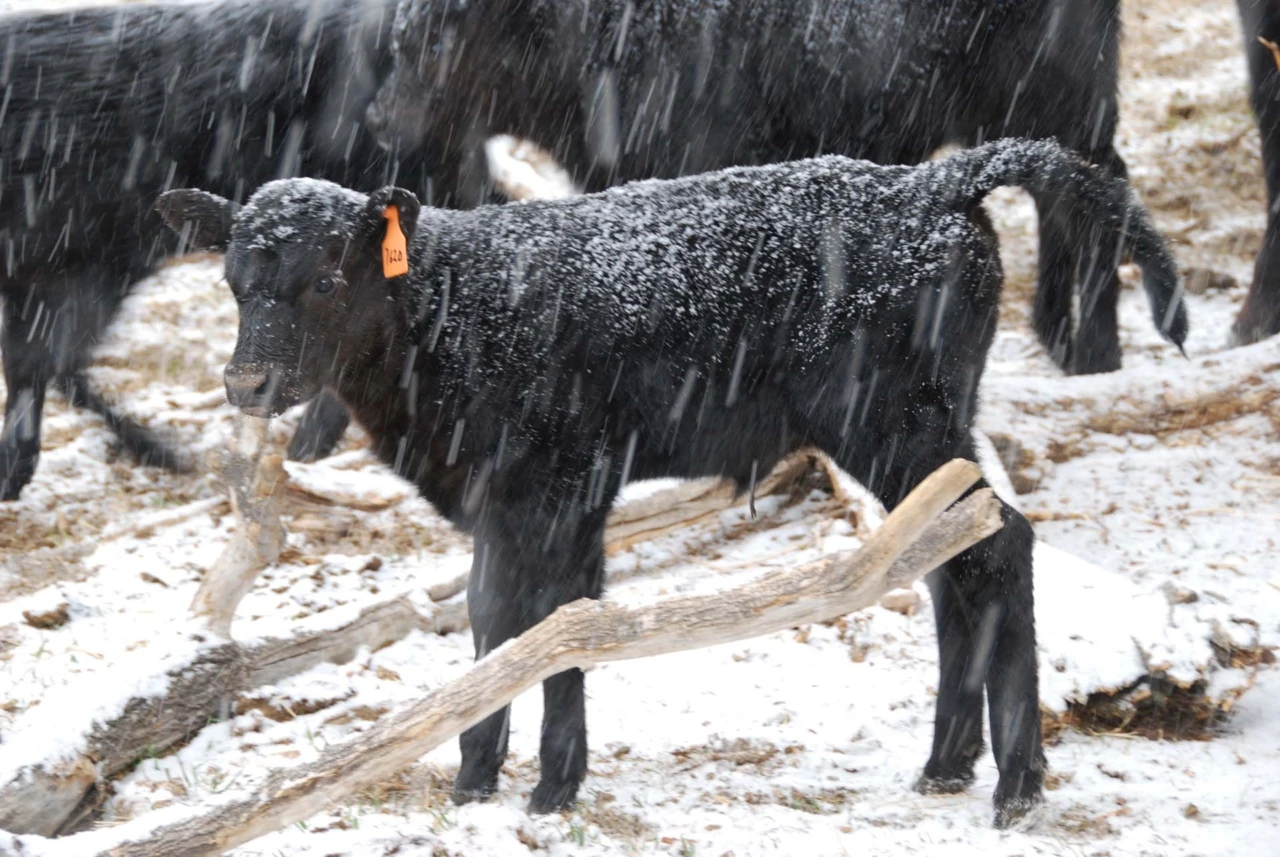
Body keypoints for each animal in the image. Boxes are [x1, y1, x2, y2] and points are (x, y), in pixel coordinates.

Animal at [156, 139, 1187, 827]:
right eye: (234, 282)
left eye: (329, 278)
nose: (247, 385)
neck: (463, 311)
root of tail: (929, 178)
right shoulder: (525, 500)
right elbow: (515, 618)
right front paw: (490, 780)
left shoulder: (555, 484)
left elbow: (544, 617)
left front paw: (540, 787)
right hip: (929, 435)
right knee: (951, 561)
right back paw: (948, 762)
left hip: (896, 421)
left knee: (998, 547)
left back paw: (1015, 784)